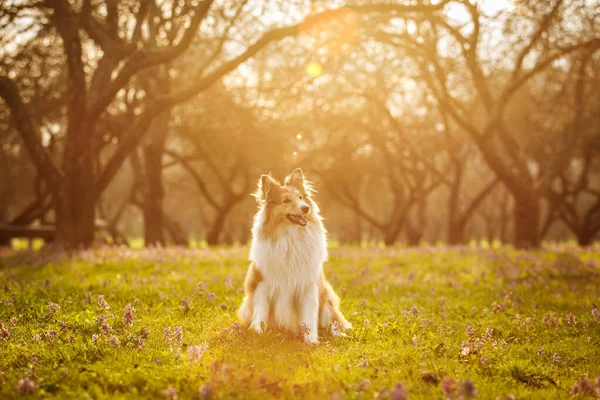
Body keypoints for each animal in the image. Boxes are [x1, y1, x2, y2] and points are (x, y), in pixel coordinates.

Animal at [237, 167, 352, 342]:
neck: (290, 235)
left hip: (327, 298)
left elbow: (309, 317)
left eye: (301, 197)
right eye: (286, 200)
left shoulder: (308, 286)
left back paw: (338, 334)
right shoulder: (263, 283)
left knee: (333, 323)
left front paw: (310, 341)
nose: (305, 208)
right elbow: (261, 313)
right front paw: (258, 333)